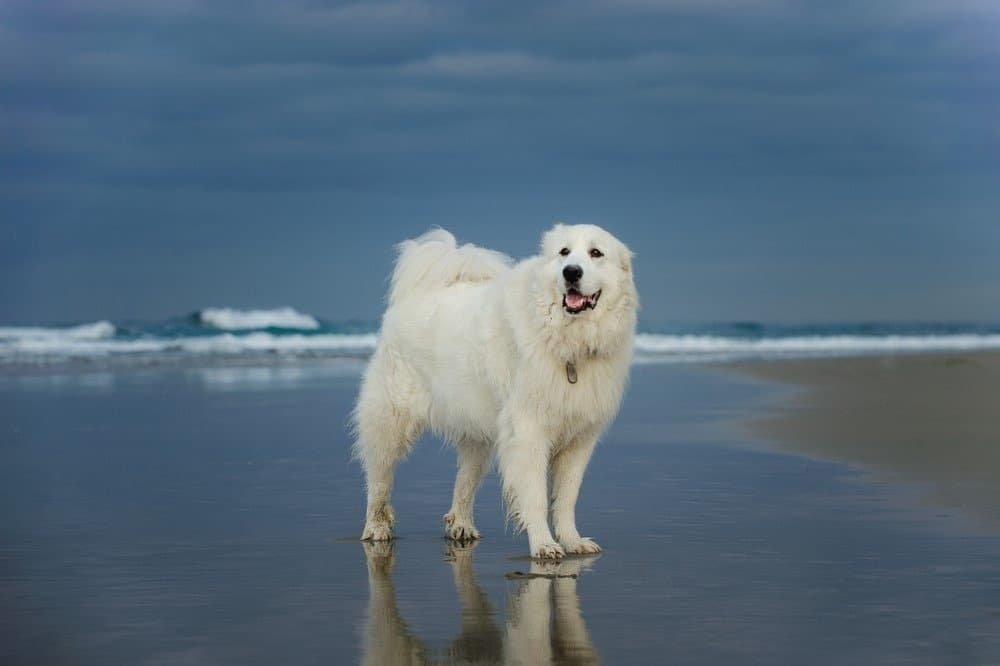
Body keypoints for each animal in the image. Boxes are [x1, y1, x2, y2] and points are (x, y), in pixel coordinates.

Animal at [352, 222, 636, 556]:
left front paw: (572, 540)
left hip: (476, 434)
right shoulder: (528, 432)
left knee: (464, 482)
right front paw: (544, 545)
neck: (567, 342)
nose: (571, 272)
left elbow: (566, 498)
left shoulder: (579, 440)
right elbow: (536, 496)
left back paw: (460, 526)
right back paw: (376, 528)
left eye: (596, 253)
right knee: (379, 479)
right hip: (390, 421)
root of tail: (417, 294)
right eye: (564, 252)